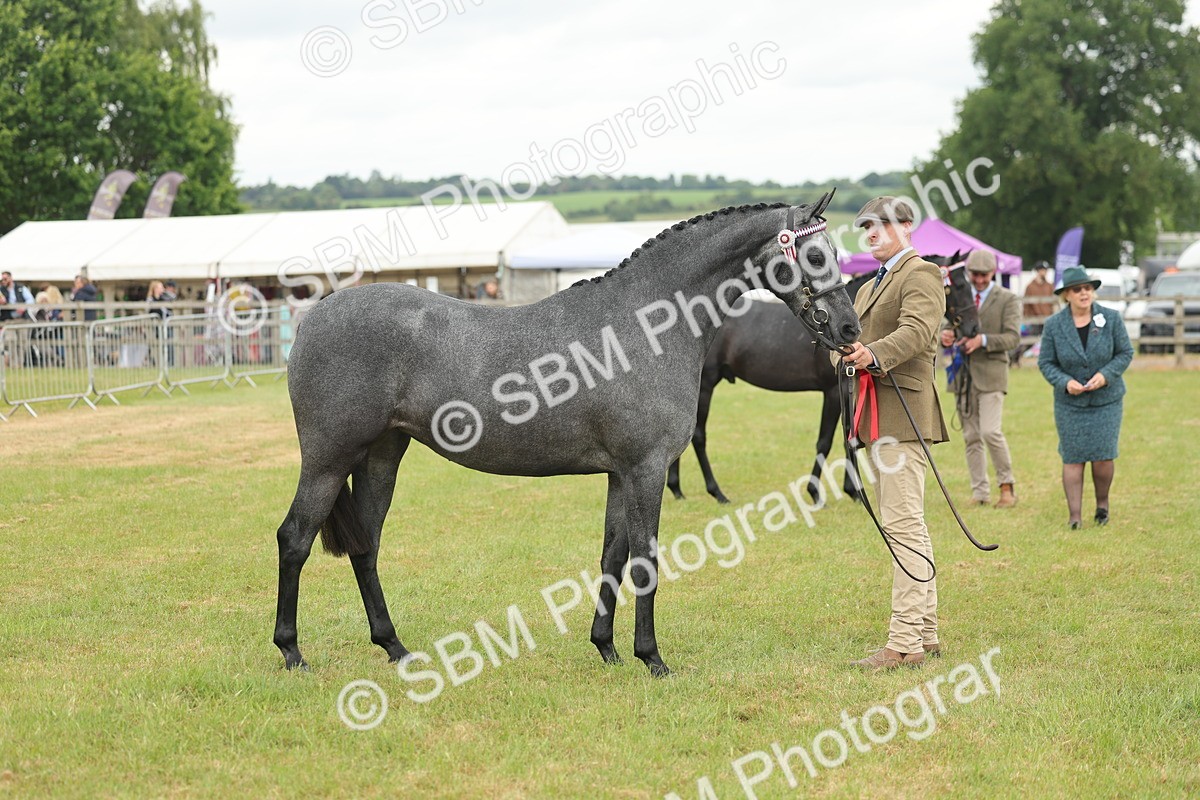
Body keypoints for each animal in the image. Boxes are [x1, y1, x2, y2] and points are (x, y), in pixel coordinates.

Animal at [274, 195, 861, 677]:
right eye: (814, 255)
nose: (849, 329)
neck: (642, 326)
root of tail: (314, 314)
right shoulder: (646, 469)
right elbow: (645, 559)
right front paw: (652, 658)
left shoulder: (622, 474)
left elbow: (612, 556)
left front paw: (607, 647)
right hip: (329, 460)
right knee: (295, 538)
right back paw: (292, 652)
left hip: (380, 457)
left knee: (366, 546)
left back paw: (395, 648)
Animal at [666, 252, 979, 505]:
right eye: (960, 285)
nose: (974, 328)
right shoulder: (832, 392)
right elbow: (826, 441)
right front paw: (817, 492)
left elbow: (850, 437)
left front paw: (851, 491)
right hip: (706, 386)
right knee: (698, 436)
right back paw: (715, 492)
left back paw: (677, 489)